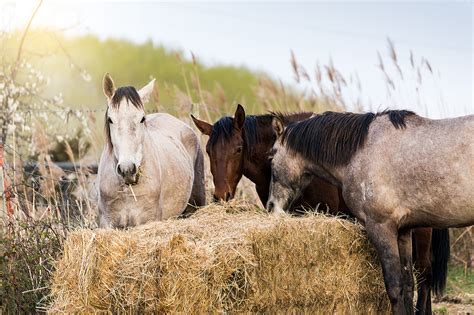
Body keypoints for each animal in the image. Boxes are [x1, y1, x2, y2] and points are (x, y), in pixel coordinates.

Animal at [268, 110, 472, 314]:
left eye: (271, 157)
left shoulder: (380, 227)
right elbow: (408, 285)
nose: (271, 206)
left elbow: (394, 286)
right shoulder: (404, 231)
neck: (361, 153)